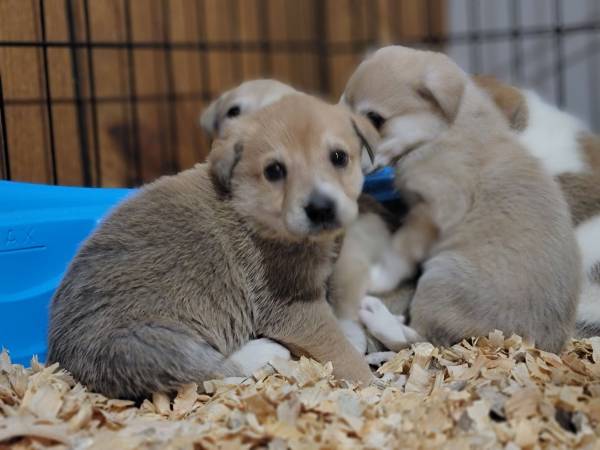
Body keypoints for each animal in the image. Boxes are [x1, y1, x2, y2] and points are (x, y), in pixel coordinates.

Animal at [48, 94, 376, 398]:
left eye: (339, 157)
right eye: (274, 171)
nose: (320, 208)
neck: (252, 212)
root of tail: (62, 359)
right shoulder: (293, 307)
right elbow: (337, 347)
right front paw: (372, 382)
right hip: (154, 345)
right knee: (216, 370)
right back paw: (267, 351)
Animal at [342, 46, 580, 356]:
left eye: (374, 119)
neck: (442, 130)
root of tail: (541, 345)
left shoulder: (432, 212)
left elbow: (399, 252)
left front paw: (378, 278)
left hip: (440, 277)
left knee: (422, 340)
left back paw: (379, 317)